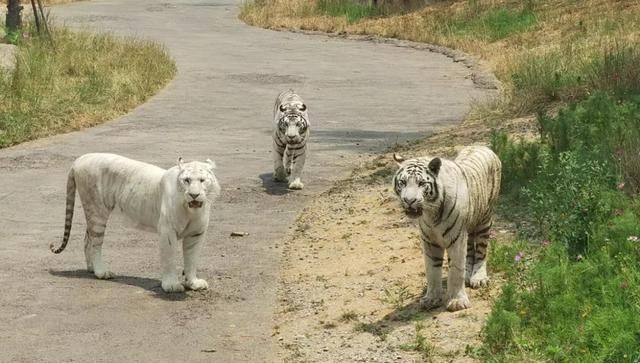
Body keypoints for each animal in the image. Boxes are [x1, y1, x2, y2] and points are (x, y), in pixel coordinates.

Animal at [48, 153, 221, 292]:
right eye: (186, 180)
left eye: (202, 180)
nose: (194, 195)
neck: (192, 210)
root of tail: (79, 159)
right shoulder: (168, 231)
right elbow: (169, 258)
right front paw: (171, 285)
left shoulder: (196, 233)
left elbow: (192, 259)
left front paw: (193, 283)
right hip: (97, 212)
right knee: (95, 243)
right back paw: (101, 272)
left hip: (92, 214)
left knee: (87, 240)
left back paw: (91, 269)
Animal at [392, 146, 502, 312]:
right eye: (402, 182)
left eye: (421, 183)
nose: (409, 200)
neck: (431, 213)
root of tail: (482, 146)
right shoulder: (429, 241)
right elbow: (432, 271)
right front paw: (431, 299)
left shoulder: (456, 239)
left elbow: (455, 270)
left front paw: (457, 301)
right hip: (469, 226)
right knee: (470, 252)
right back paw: (468, 274)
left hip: (485, 219)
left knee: (482, 250)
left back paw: (478, 277)